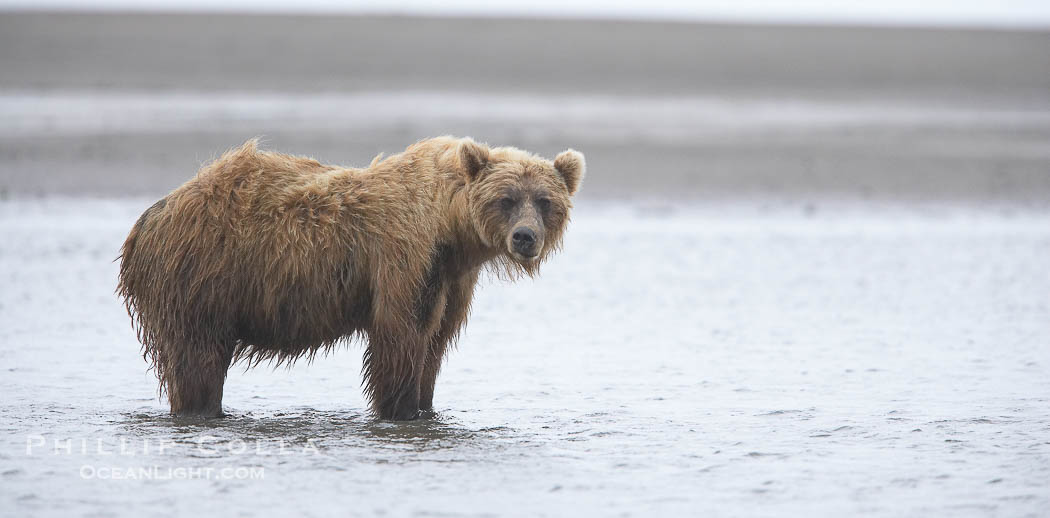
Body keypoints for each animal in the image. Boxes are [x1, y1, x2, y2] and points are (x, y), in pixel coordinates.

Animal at [117, 136, 584, 420]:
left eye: (544, 200)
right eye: (506, 199)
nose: (525, 237)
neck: (449, 228)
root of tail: (149, 218)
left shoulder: (453, 281)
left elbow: (434, 344)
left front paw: (427, 405)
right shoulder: (405, 257)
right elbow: (400, 337)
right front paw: (400, 411)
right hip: (201, 274)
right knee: (197, 360)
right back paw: (201, 410)